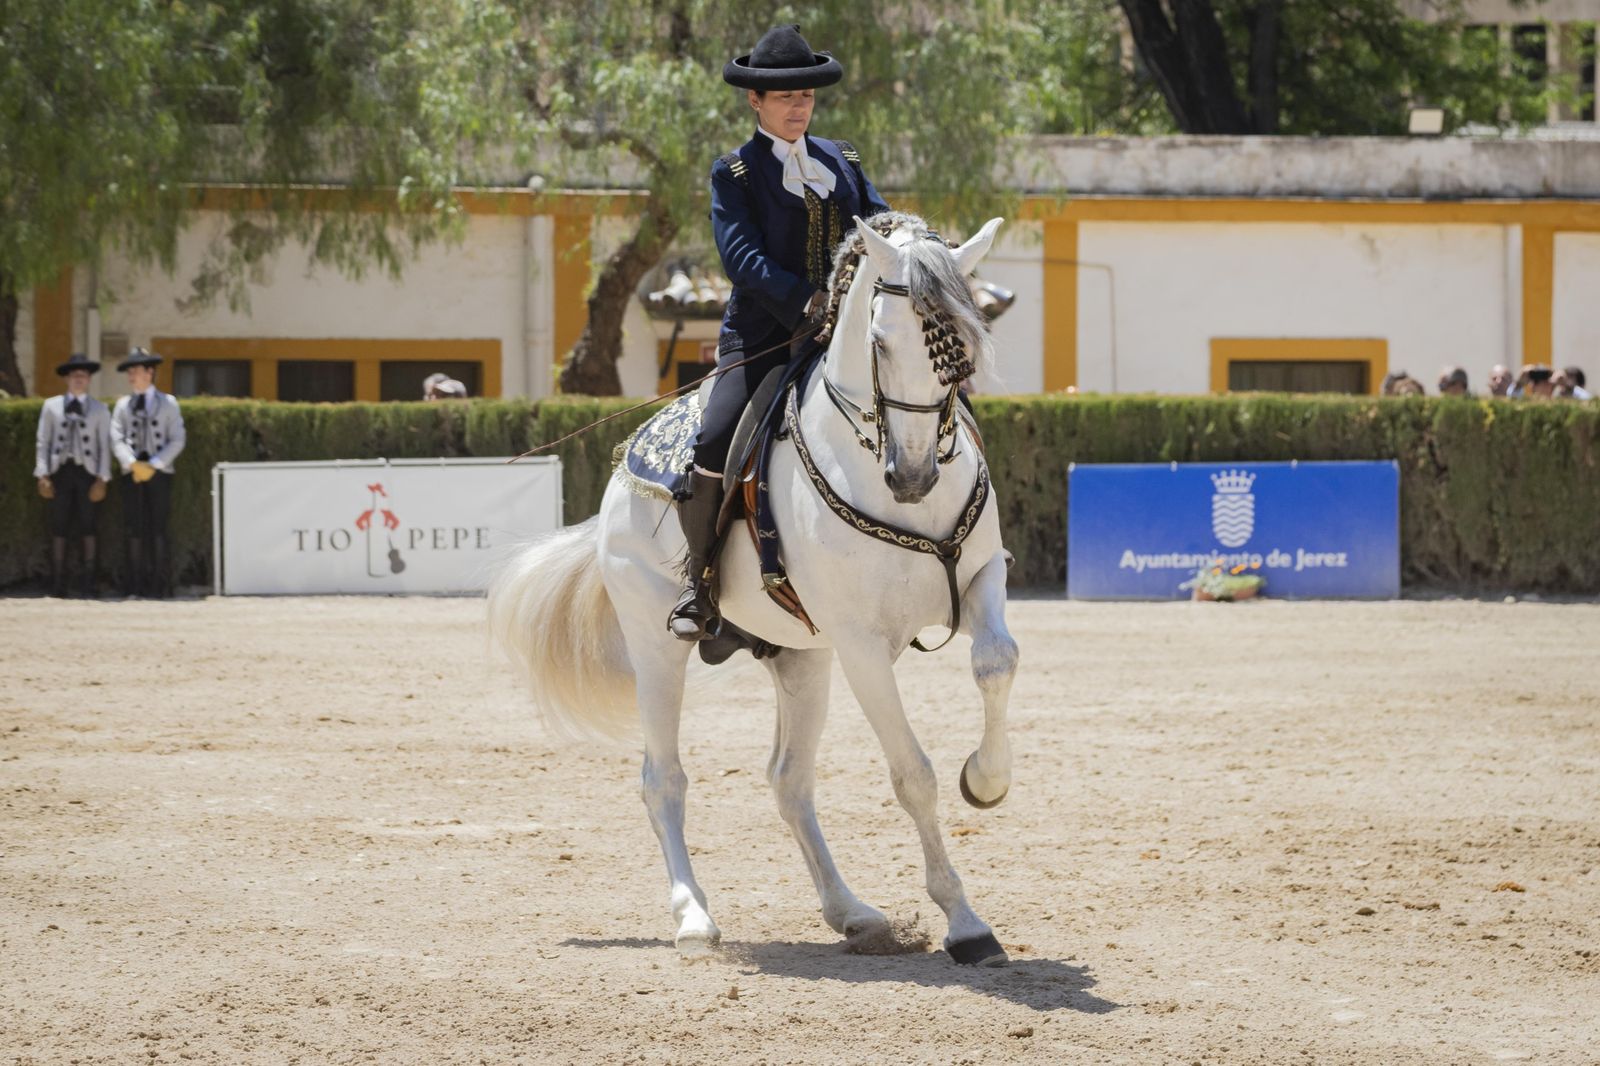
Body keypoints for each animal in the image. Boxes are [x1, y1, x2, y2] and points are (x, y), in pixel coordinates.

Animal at [488, 211, 1019, 966]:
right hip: (658, 646)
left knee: (788, 780)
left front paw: (987, 780)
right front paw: (965, 923)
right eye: (880, 342)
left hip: (802, 658)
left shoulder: (978, 581)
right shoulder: (861, 645)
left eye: (963, 349)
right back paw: (694, 919)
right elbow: (912, 773)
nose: (911, 476)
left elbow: (996, 661)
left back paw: (851, 911)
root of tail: (621, 475)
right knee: (663, 778)